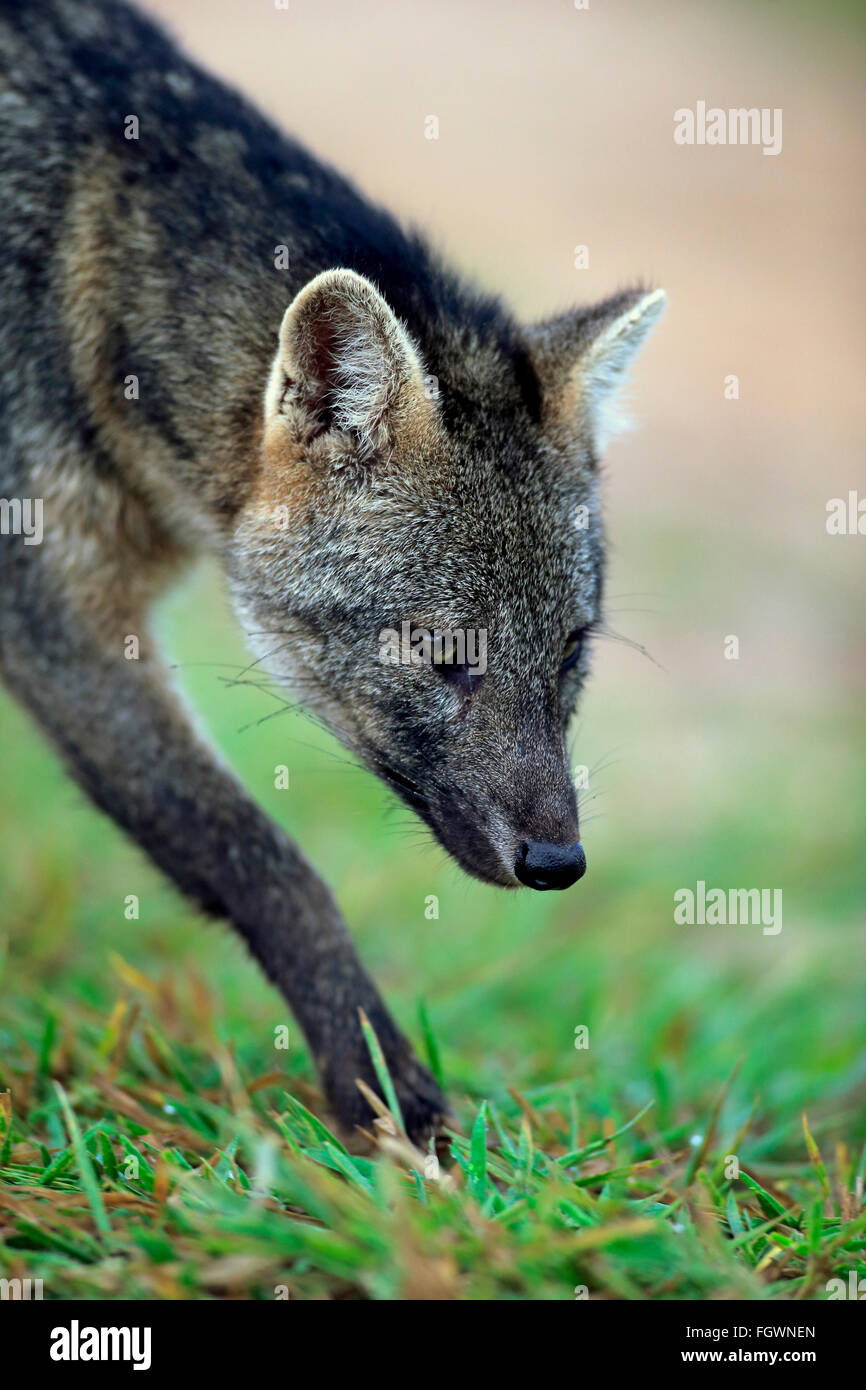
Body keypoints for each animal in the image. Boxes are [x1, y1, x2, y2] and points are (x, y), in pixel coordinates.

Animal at [0, 0, 665, 1145]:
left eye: (570, 654)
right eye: (443, 656)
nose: (558, 866)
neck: (82, 257)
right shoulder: (54, 614)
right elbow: (263, 863)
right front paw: (380, 1085)